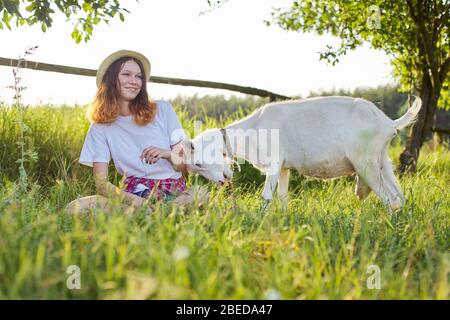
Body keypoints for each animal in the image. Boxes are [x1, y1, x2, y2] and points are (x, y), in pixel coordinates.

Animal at [181, 95, 420, 210]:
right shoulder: (284, 167)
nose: (221, 182)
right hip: (381, 160)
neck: (253, 129)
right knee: (398, 196)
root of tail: (387, 122)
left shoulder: (274, 162)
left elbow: (267, 197)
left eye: (199, 163)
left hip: (366, 162)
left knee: (390, 199)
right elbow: (283, 197)